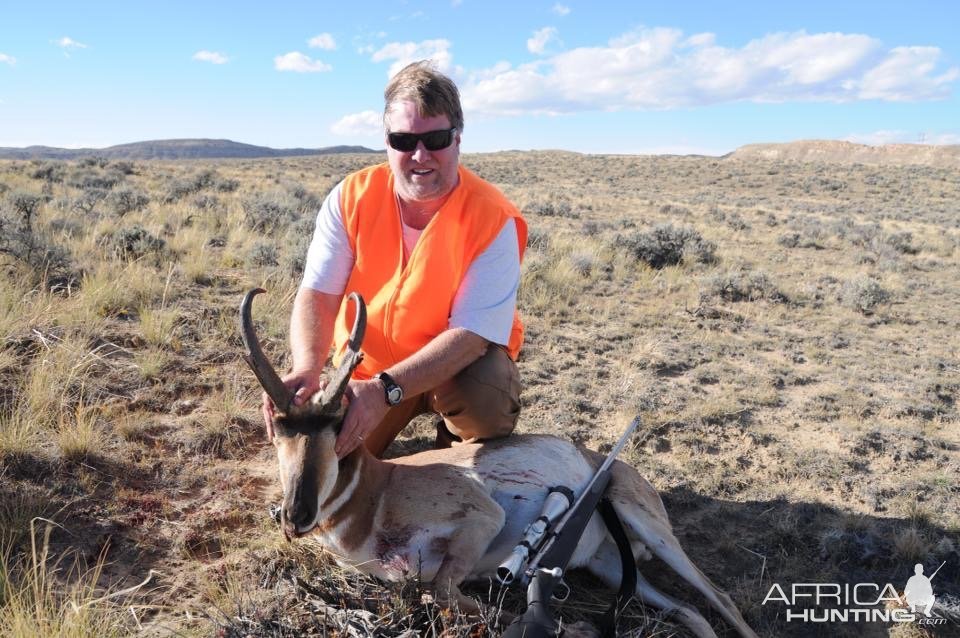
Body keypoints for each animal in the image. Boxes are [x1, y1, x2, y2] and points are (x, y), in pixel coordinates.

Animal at [240, 292, 756, 638]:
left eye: (339, 427)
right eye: (277, 429)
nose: (296, 515)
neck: (378, 490)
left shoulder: (484, 518)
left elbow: (442, 592)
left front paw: (567, 627)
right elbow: (442, 594)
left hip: (648, 527)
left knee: (720, 597)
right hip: (609, 565)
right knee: (687, 610)